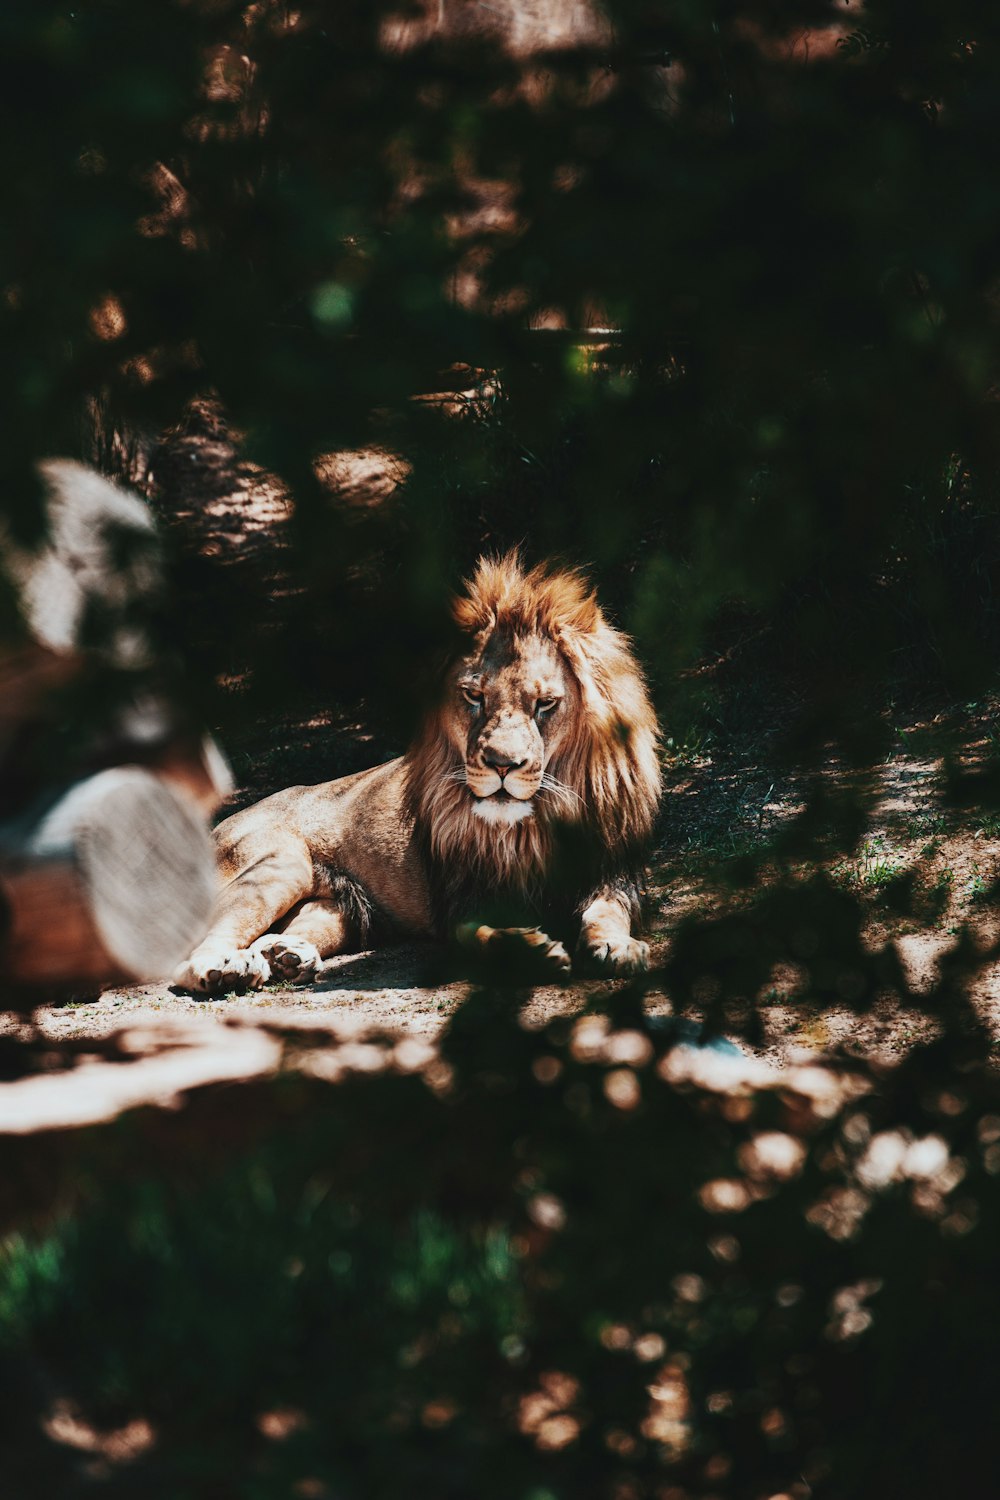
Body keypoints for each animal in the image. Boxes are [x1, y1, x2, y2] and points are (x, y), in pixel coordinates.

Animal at [175, 555, 659, 996]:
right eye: (474, 696)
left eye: (545, 704)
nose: (502, 765)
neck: (533, 824)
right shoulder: (461, 898)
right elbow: (481, 933)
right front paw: (531, 951)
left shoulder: (614, 872)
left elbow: (606, 912)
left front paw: (616, 947)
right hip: (279, 862)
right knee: (189, 956)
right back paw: (226, 969)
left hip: (342, 907)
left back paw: (286, 955)